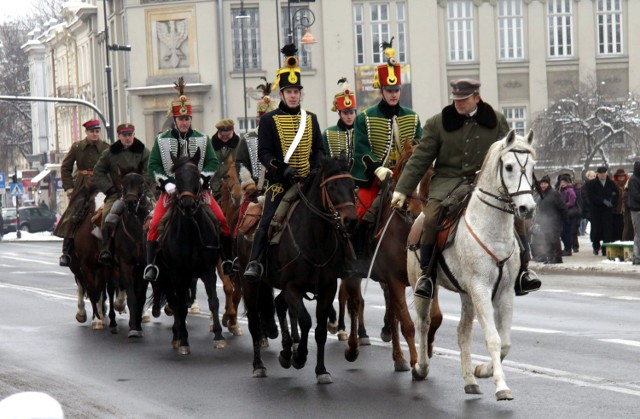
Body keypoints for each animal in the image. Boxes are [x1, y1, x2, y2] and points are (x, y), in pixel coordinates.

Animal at [152, 148, 225, 354]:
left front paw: (218, 336)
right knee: (174, 302)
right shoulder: (178, 274)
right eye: (176, 177)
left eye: (195, 175)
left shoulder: (208, 270)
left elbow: (213, 301)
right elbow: (180, 307)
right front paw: (183, 340)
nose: (187, 205)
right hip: (165, 275)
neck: (191, 232)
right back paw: (177, 336)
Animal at [408, 130, 536, 402]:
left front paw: (483, 371)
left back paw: (470, 381)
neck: (491, 229)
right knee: (423, 324)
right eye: (509, 167)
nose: (527, 208)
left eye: (532, 166)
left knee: (462, 332)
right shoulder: (480, 290)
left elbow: (504, 342)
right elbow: (493, 339)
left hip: (466, 296)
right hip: (422, 289)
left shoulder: (504, 293)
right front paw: (501, 386)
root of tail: (420, 216)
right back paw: (421, 367)